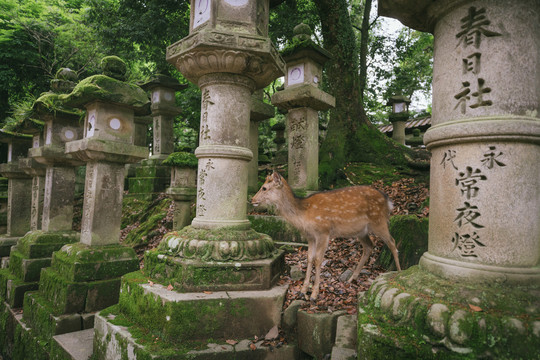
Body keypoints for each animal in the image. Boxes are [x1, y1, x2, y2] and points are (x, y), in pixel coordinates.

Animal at [251, 170, 398, 300]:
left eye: (264, 188)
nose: (252, 200)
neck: (304, 215)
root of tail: (389, 202)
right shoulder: (310, 237)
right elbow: (309, 258)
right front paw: (303, 290)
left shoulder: (323, 232)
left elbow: (318, 259)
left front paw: (314, 294)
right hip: (361, 231)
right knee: (369, 246)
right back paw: (351, 279)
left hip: (379, 221)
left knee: (392, 243)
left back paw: (399, 272)